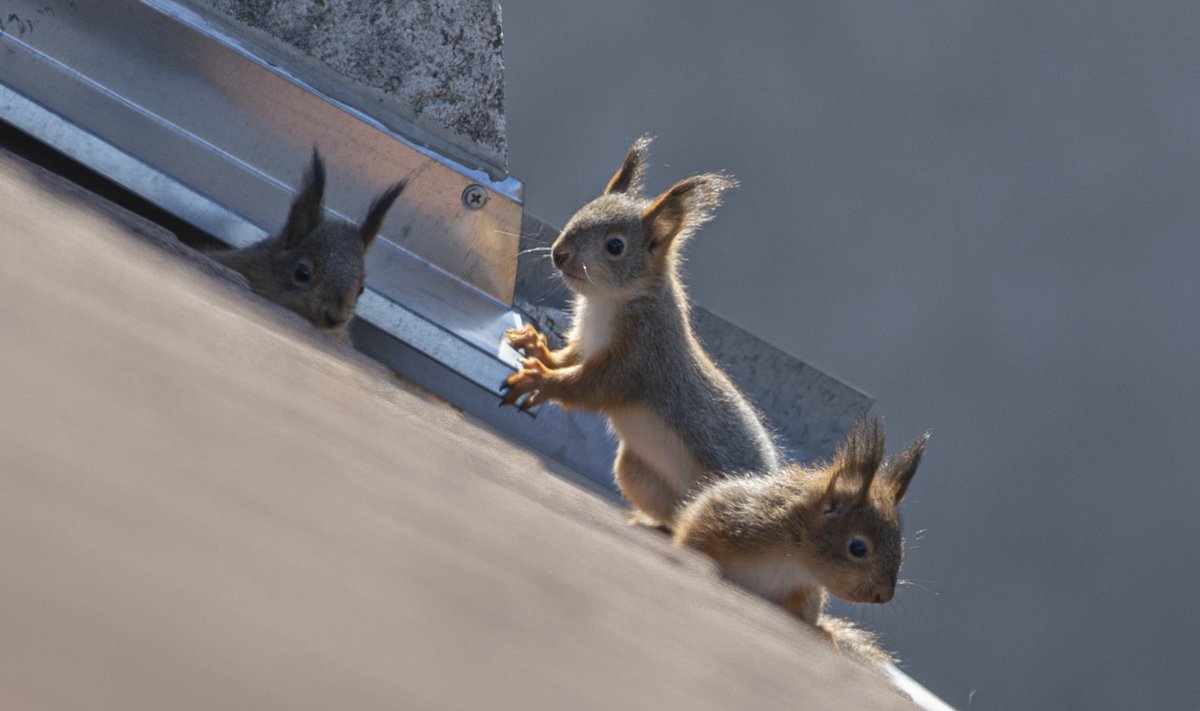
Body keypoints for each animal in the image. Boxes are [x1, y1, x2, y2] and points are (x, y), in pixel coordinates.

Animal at [496, 137, 777, 528]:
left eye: (615, 246)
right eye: (582, 211)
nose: (558, 254)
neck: (608, 303)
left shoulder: (642, 355)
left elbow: (591, 385)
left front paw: (539, 381)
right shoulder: (587, 341)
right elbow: (568, 359)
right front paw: (535, 345)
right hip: (634, 471)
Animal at [676, 415, 926, 634]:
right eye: (858, 548)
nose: (884, 595)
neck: (793, 561)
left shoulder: (804, 592)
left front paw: (826, 633)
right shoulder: (728, 523)